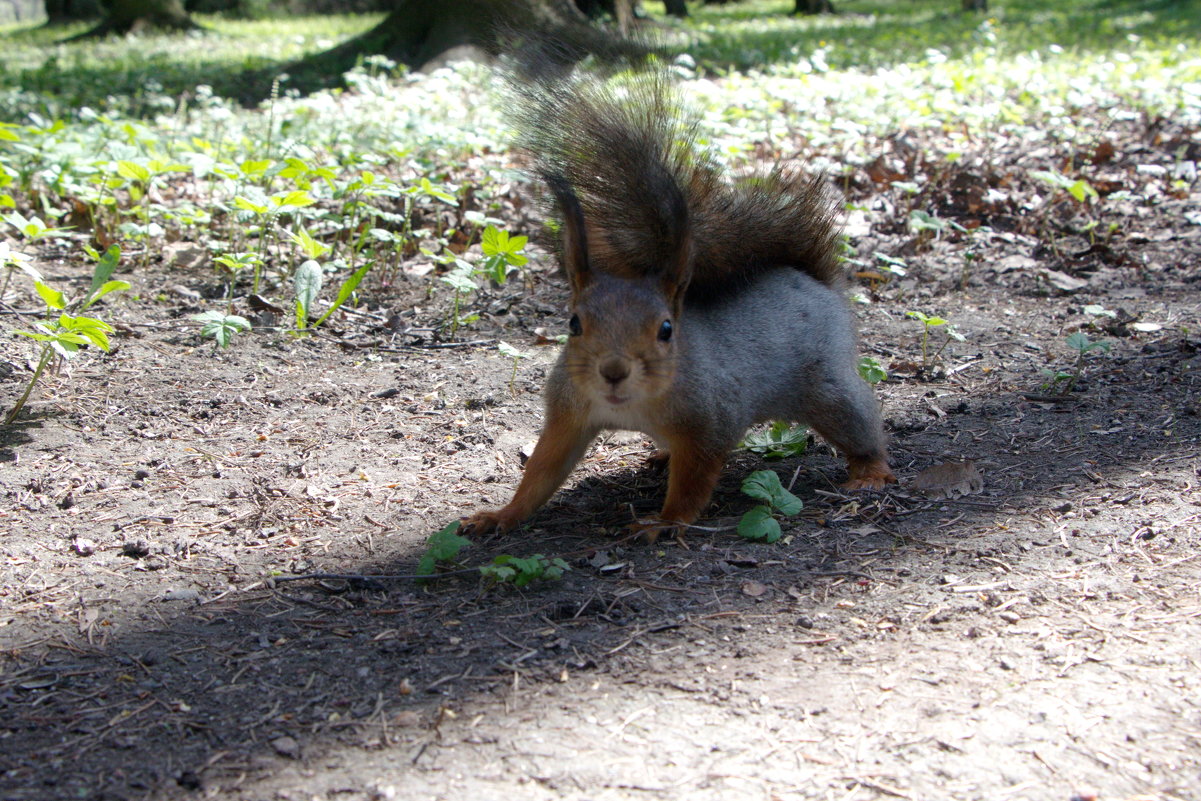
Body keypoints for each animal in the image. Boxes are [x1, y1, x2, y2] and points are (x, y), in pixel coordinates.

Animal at [463, 72, 898, 542]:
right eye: (574, 324)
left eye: (667, 329)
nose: (613, 371)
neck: (631, 406)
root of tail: (810, 278)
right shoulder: (568, 414)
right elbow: (542, 471)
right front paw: (500, 515)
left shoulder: (710, 420)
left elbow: (694, 480)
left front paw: (663, 521)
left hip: (826, 384)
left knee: (858, 418)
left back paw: (870, 470)